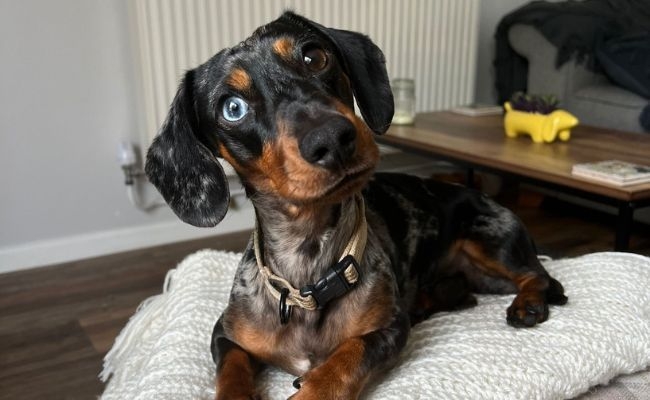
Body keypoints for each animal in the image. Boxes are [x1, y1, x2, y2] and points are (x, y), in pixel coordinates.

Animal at [144, 10, 564, 398]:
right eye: (232, 108)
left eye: (314, 56)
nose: (331, 138)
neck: (307, 277)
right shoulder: (225, 335)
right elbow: (231, 372)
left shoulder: (389, 329)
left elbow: (348, 356)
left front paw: (315, 383)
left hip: (491, 244)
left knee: (538, 274)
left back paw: (529, 302)